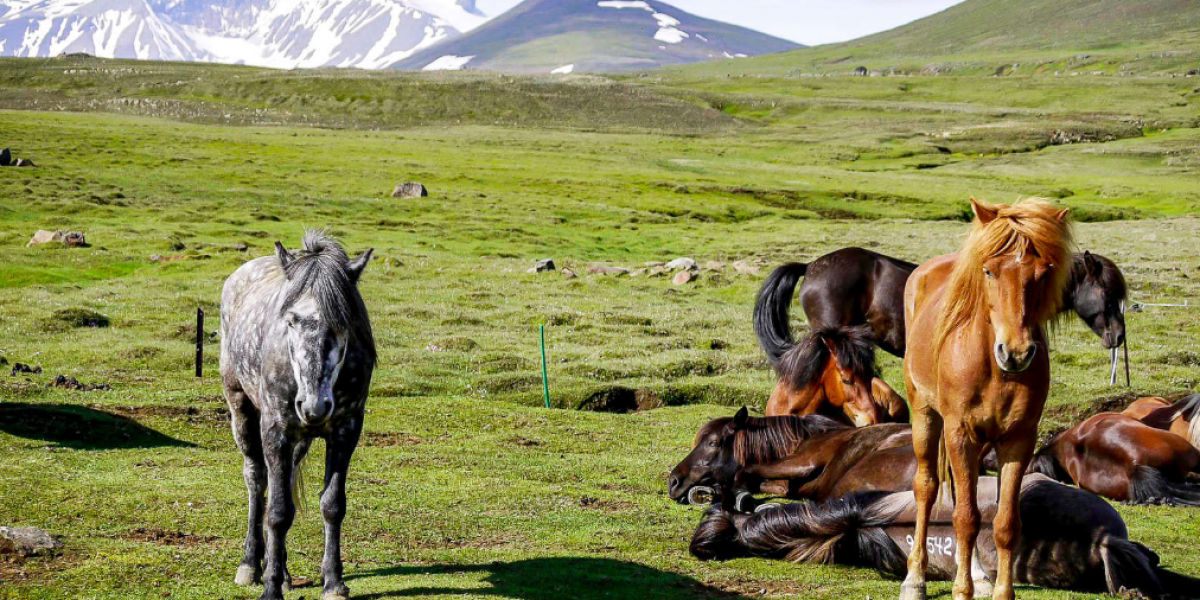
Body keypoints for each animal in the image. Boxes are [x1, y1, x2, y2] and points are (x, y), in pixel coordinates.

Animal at [221, 231, 375, 600]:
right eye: (290, 320)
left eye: (343, 322)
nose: (313, 406)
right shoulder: (276, 429)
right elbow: (277, 512)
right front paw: (270, 588)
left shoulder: (346, 429)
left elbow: (332, 504)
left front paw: (333, 582)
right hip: (241, 409)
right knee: (257, 480)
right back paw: (251, 565)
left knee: (284, 483)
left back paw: (286, 573)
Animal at [902, 198, 1073, 600]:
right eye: (989, 271)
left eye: (1044, 272)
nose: (1016, 352)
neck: (994, 371)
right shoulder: (959, 433)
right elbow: (965, 518)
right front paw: (961, 590)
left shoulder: (1018, 439)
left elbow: (1005, 522)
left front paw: (997, 590)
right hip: (925, 415)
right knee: (926, 487)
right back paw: (915, 578)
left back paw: (979, 574)